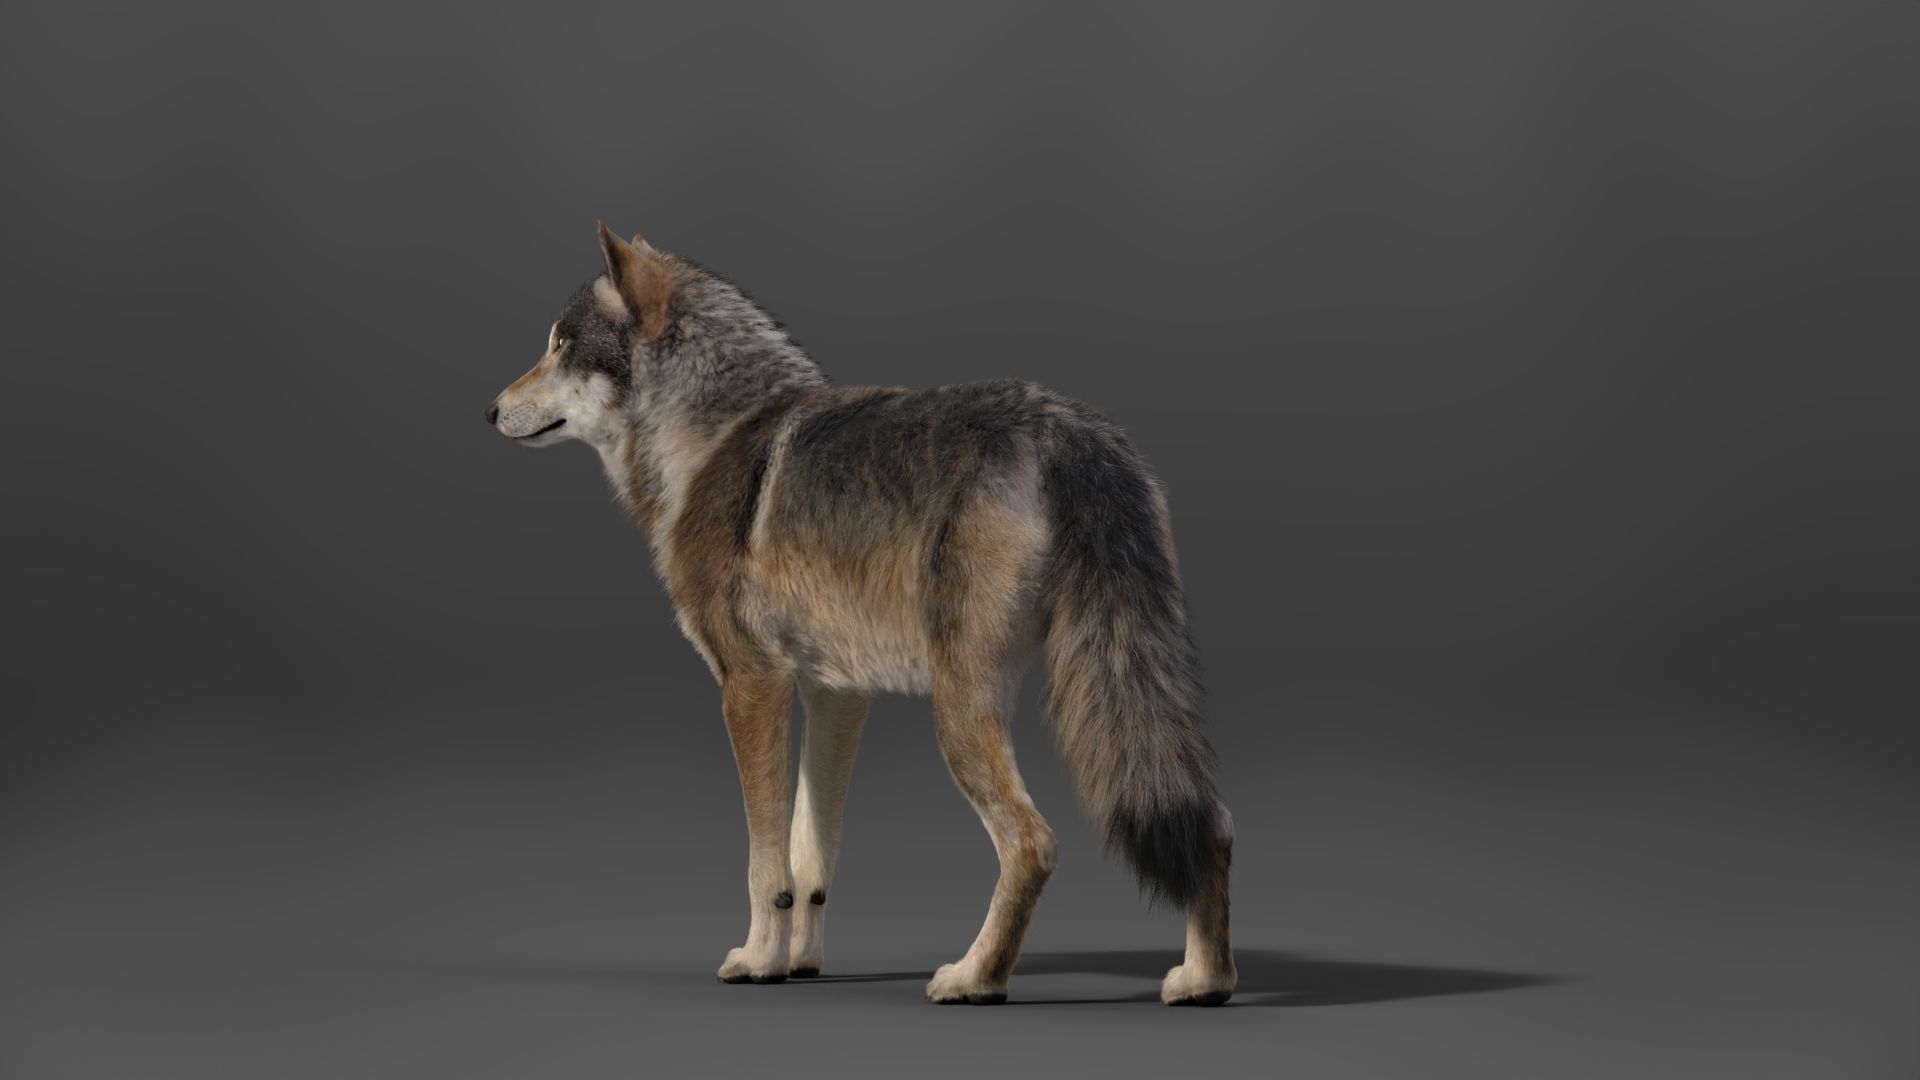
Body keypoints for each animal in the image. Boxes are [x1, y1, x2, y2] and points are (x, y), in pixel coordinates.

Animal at [486, 224, 1236, 1005]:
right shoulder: (836, 693)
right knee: (1209, 827)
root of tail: (1066, 427)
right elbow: (809, 856)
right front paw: (800, 962)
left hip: (960, 713)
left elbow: (764, 860)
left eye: (561, 344)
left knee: (1034, 844)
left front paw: (759, 962)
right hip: (1118, 688)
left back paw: (975, 978)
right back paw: (1204, 980)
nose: (488, 410)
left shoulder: (750, 684)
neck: (713, 437)